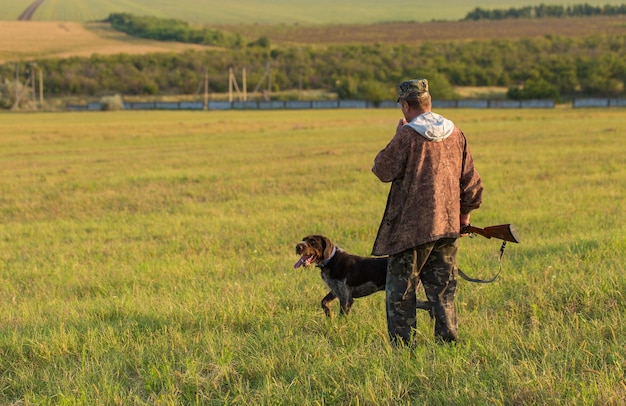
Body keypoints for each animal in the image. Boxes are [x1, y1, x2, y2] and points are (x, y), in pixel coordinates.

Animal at [292, 235, 428, 318]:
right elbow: (324, 302)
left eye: (312, 242)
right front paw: (329, 316)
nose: (297, 246)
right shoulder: (336, 291)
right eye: (303, 239)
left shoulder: (346, 298)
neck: (330, 260)